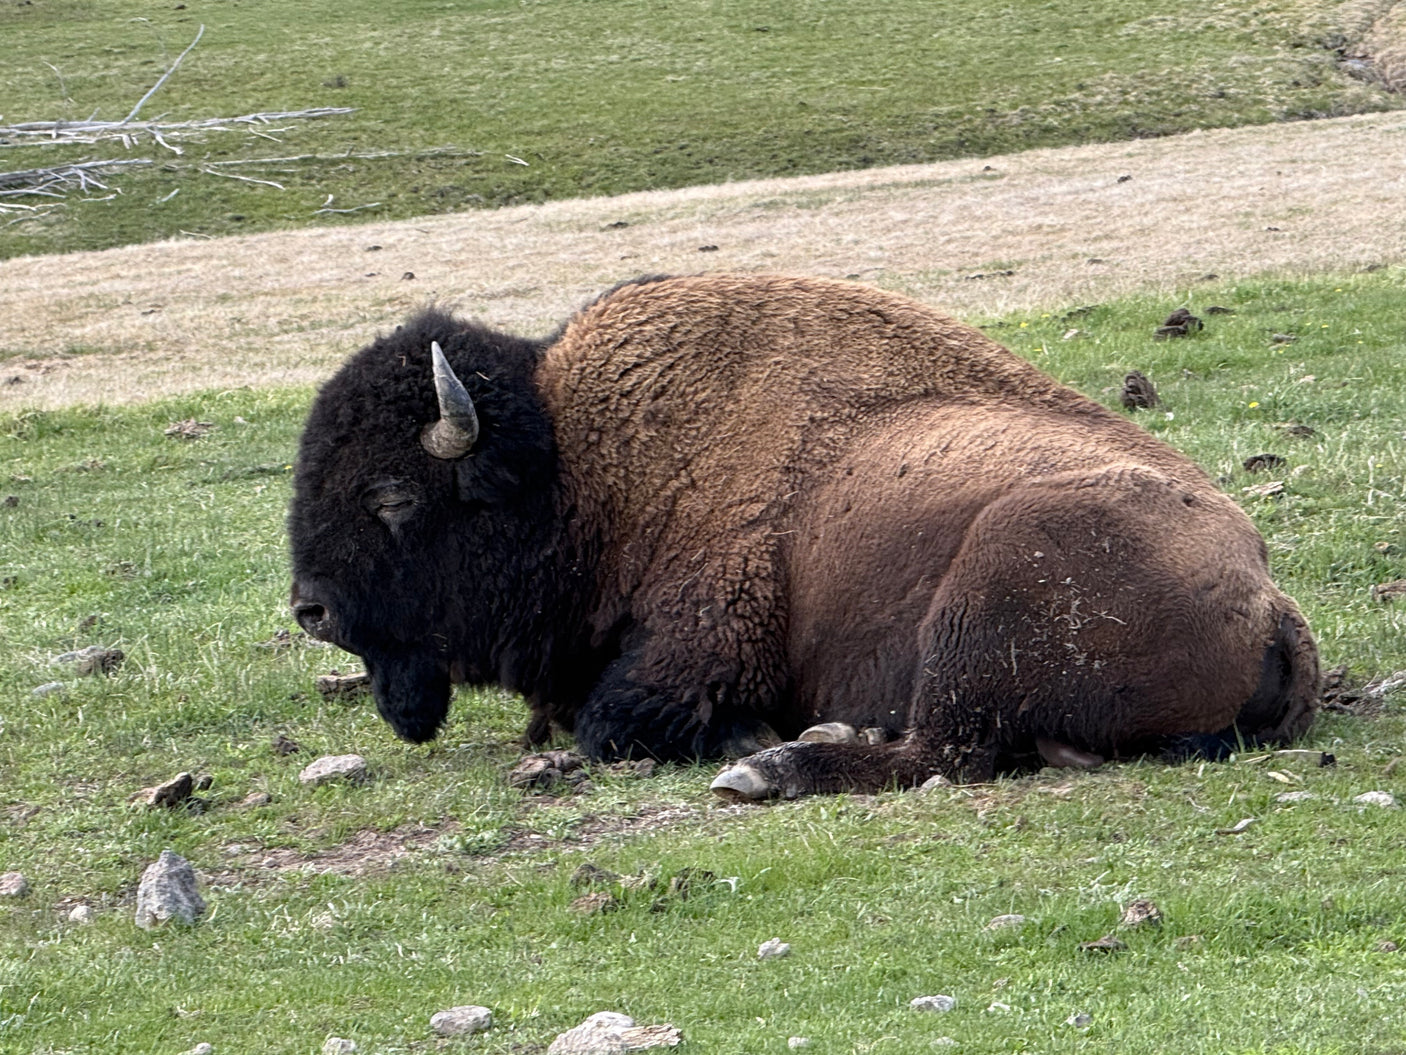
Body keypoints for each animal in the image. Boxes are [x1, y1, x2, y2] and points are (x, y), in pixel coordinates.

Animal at [288, 274, 1317, 800]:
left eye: (391, 496)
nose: (311, 609)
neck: (587, 465)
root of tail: (1271, 600)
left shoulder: (697, 646)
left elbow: (615, 722)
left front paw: (741, 735)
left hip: (989, 587)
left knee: (942, 755)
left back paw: (771, 764)